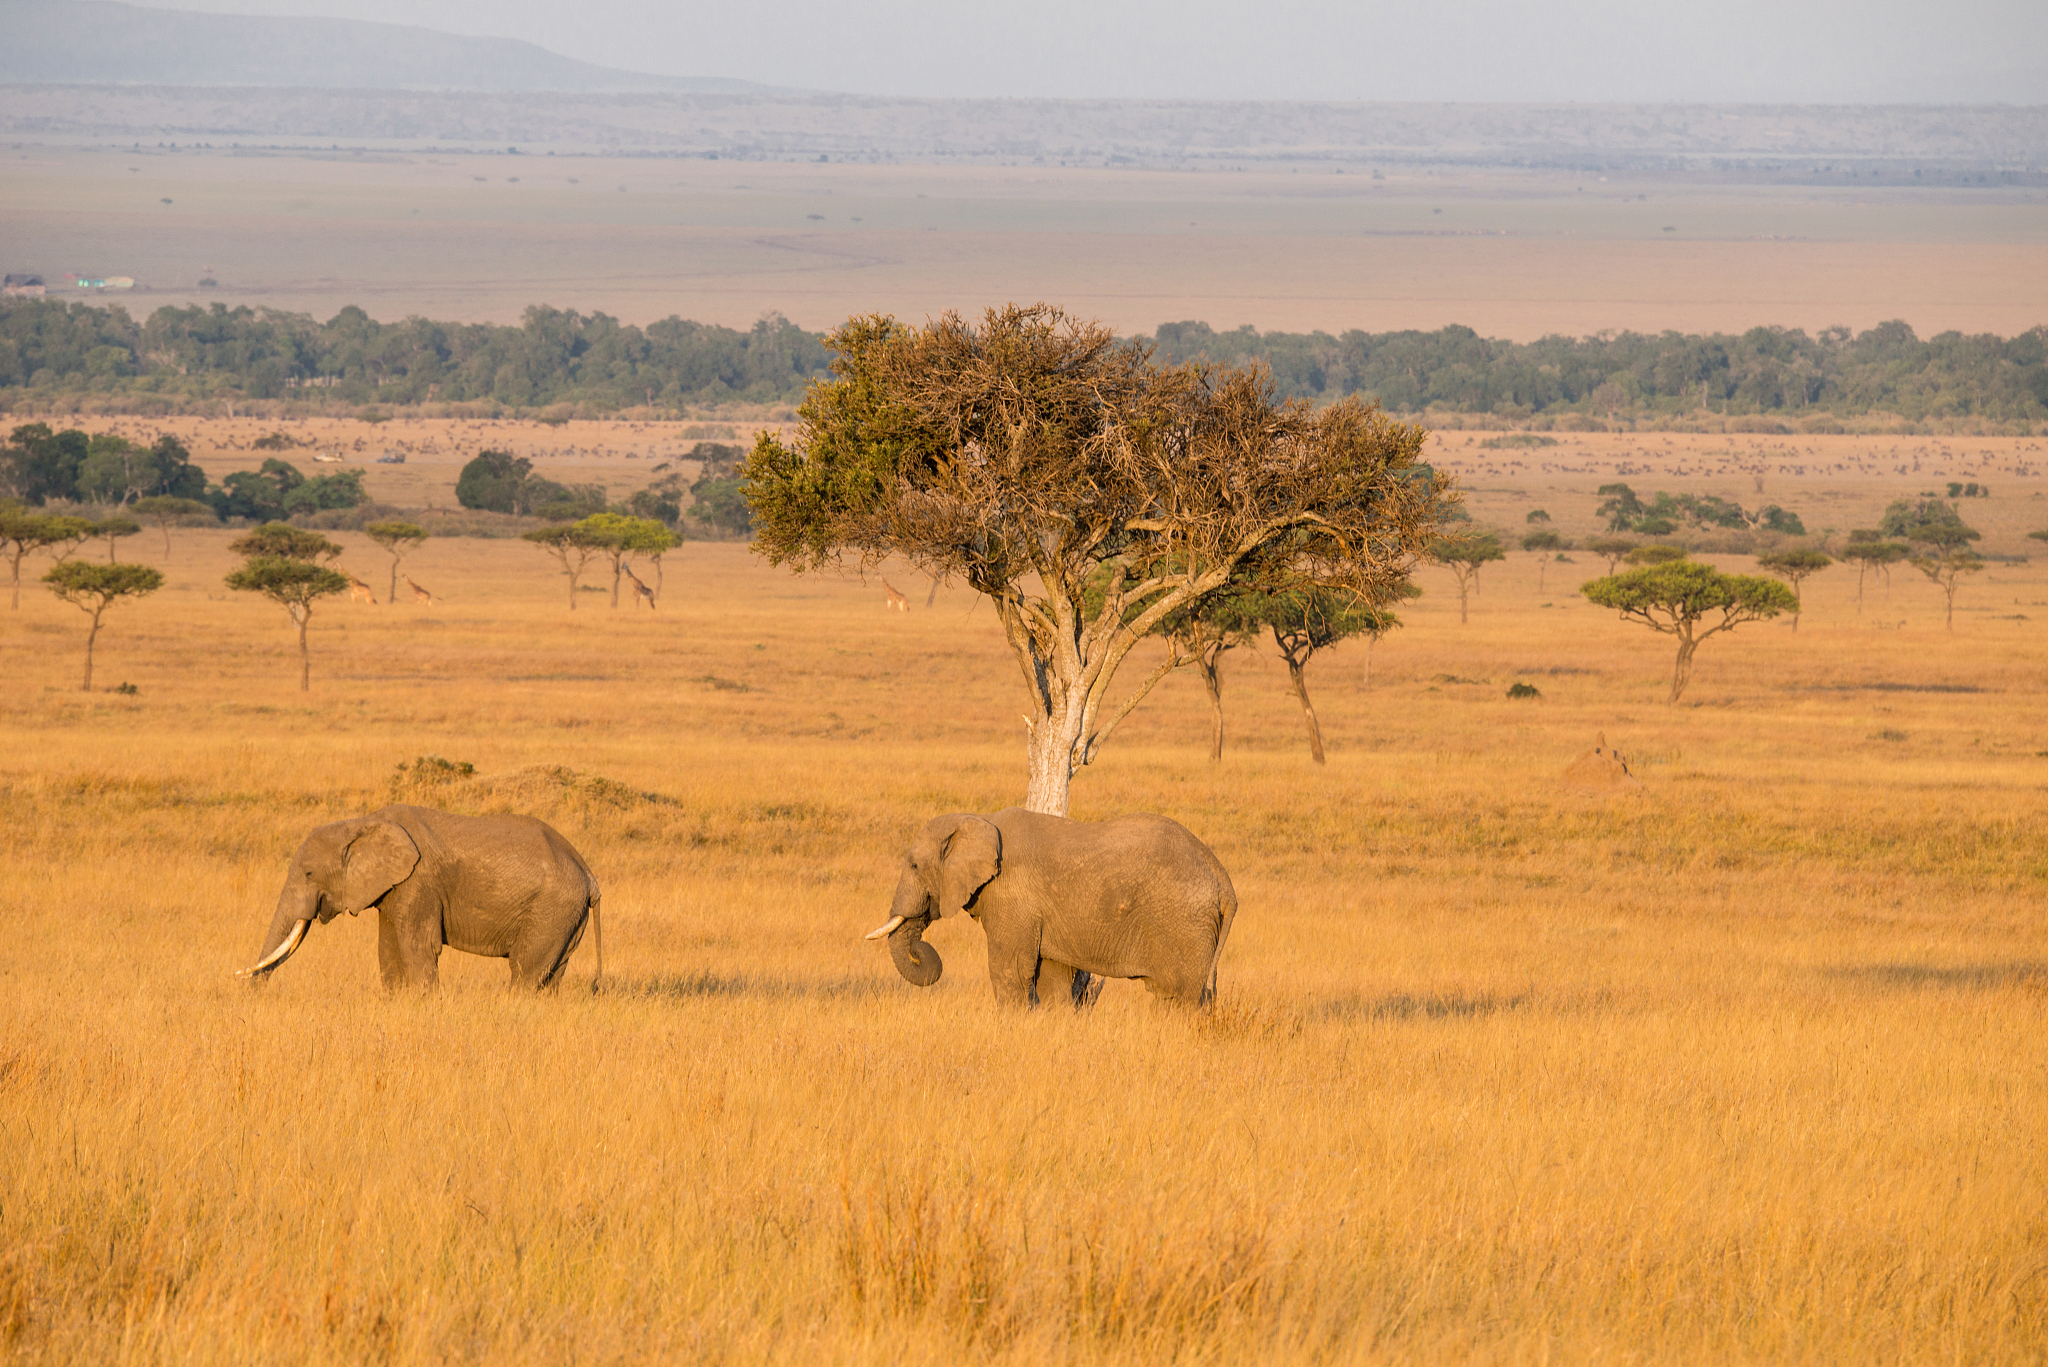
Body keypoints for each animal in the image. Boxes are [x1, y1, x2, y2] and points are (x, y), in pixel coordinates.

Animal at [238, 804, 602, 991]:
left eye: (309, 874)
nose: (252, 992)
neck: (362, 822)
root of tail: (590, 876)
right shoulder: (394, 889)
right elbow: (388, 949)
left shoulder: (419, 882)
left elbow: (419, 946)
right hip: (567, 919)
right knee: (552, 975)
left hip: (551, 910)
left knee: (525, 971)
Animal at [865, 808, 1236, 1008]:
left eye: (914, 865)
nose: (920, 950)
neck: (980, 819)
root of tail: (1223, 879)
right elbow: (1053, 978)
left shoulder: (1012, 897)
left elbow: (1011, 972)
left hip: (1184, 923)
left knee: (1182, 995)